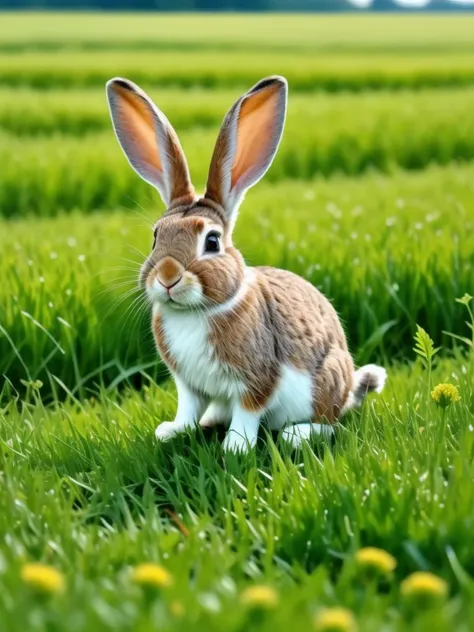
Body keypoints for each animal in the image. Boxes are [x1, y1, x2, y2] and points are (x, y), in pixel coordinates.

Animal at [105, 74, 386, 452]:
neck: (198, 311)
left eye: (212, 241)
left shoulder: (258, 378)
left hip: (323, 382)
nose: (167, 277)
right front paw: (172, 431)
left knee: (331, 424)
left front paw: (236, 448)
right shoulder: (187, 383)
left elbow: (249, 412)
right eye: (155, 236)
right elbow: (188, 408)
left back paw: (296, 435)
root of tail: (348, 390)